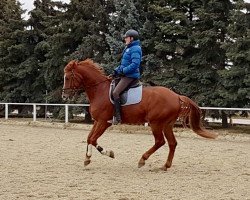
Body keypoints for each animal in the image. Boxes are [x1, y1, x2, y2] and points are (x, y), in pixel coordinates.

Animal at [62, 58, 217, 170]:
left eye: (68, 77)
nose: (64, 96)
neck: (99, 90)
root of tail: (176, 96)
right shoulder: (97, 121)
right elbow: (89, 138)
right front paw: (87, 158)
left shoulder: (103, 122)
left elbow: (93, 139)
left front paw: (109, 153)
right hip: (167, 124)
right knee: (172, 143)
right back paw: (165, 166)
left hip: (156, 123)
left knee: (160, 141)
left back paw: (142, 159)